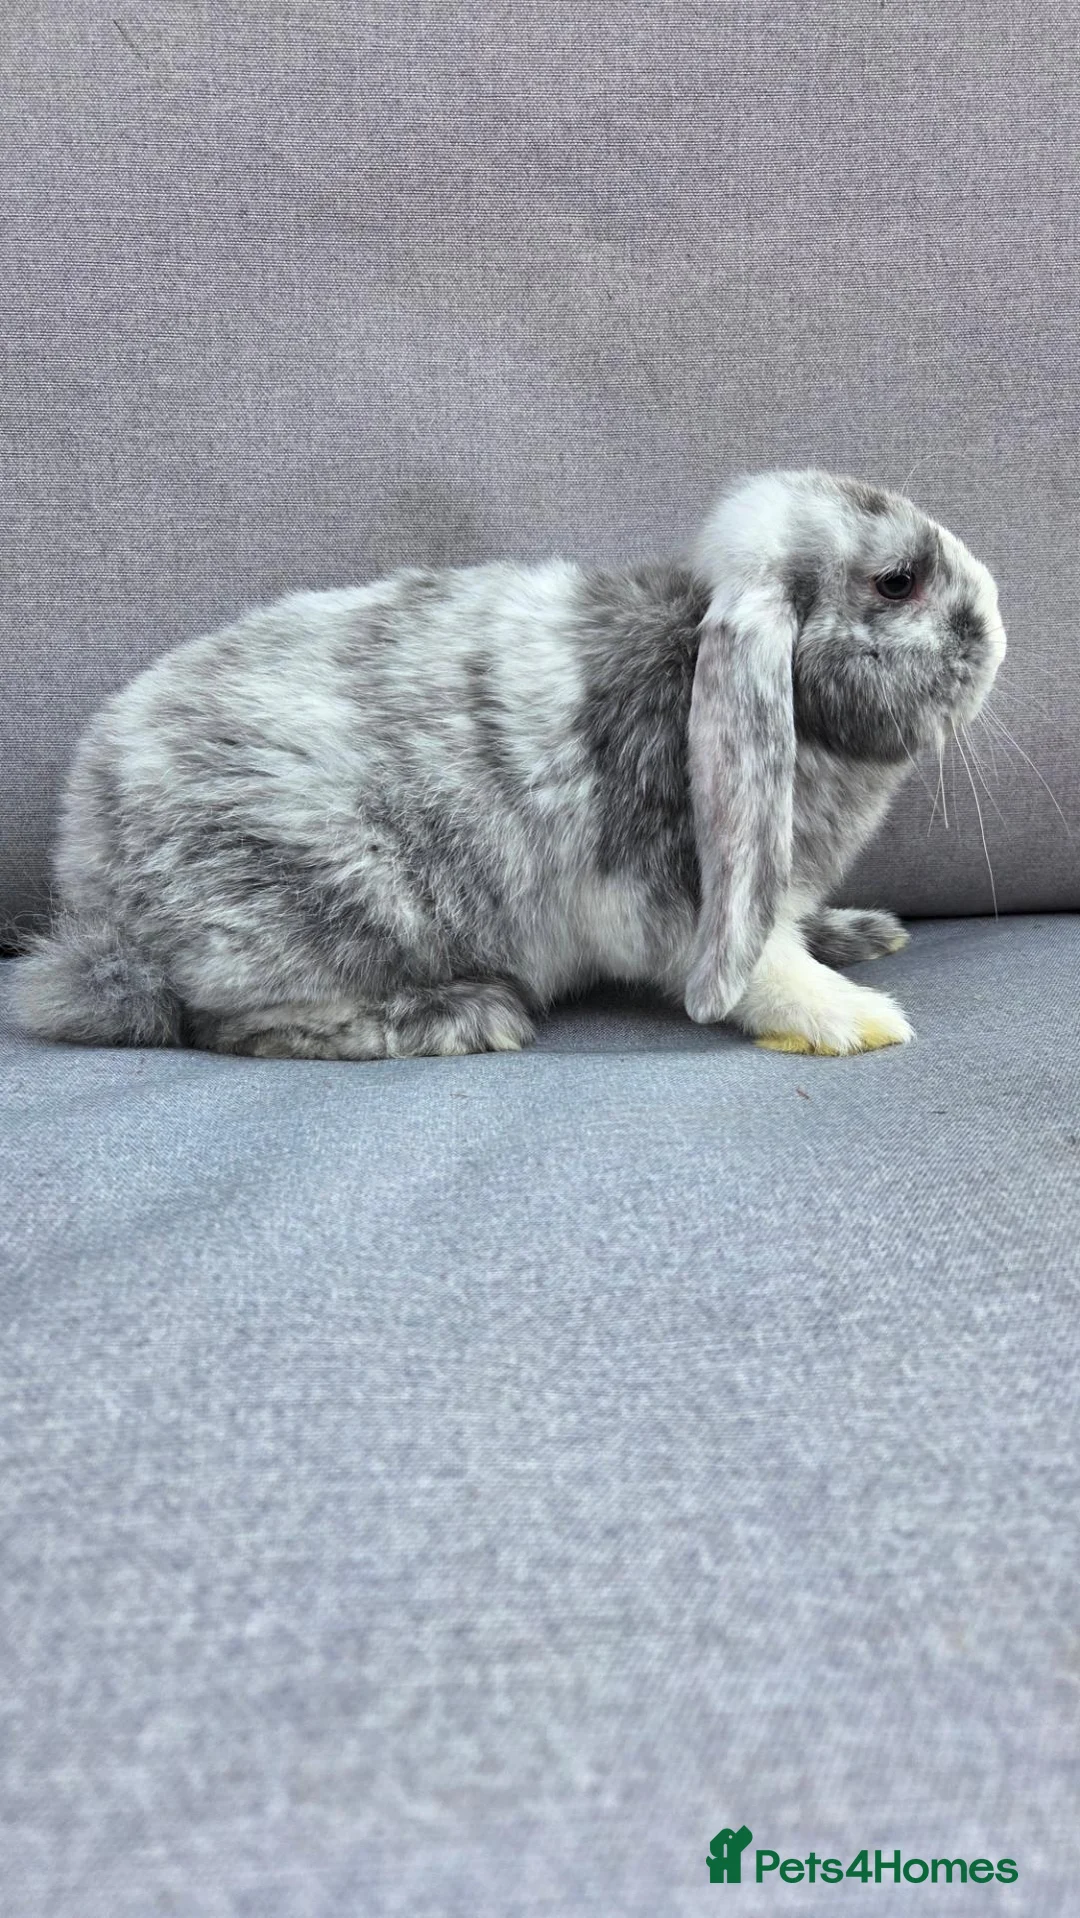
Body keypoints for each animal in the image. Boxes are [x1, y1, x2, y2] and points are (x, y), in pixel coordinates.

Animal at [11, 469, 1006, 1060]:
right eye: (897, 583)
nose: (997, 627)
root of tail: (94, 890)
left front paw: (860, 936)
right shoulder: (679, 898)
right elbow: (756, 968)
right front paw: (857, 1018)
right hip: (330, 899)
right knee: (227, 1023)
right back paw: (460, 1015)